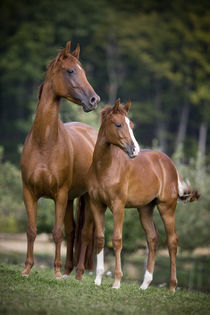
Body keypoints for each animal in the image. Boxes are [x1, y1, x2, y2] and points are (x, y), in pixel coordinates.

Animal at [20, 41, 99, 278]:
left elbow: (56, 232)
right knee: (73, 231)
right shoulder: (29, 193)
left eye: (83, 71)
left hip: (87, 199)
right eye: (71, 71)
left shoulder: (60, 195)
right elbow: (32, 230)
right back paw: (67, 270)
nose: (94, 100)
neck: (44, 142)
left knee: (85, 232)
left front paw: (54, 272)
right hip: (72, 199)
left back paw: (79, 273)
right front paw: (27, 269)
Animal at [84, 100, 199, 292]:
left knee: (172, 241)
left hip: (166, 208)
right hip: (145, 209)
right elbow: (100, 238)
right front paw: (98, 279)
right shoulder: (97, 205)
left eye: (131, 125)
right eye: (118, 124)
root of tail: (170, 164)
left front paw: (117, 282)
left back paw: (172, 287)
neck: (104, 167)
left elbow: (117, 240)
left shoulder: (118, 206)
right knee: (152, 239)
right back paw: (145, 284)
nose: (134, 150)